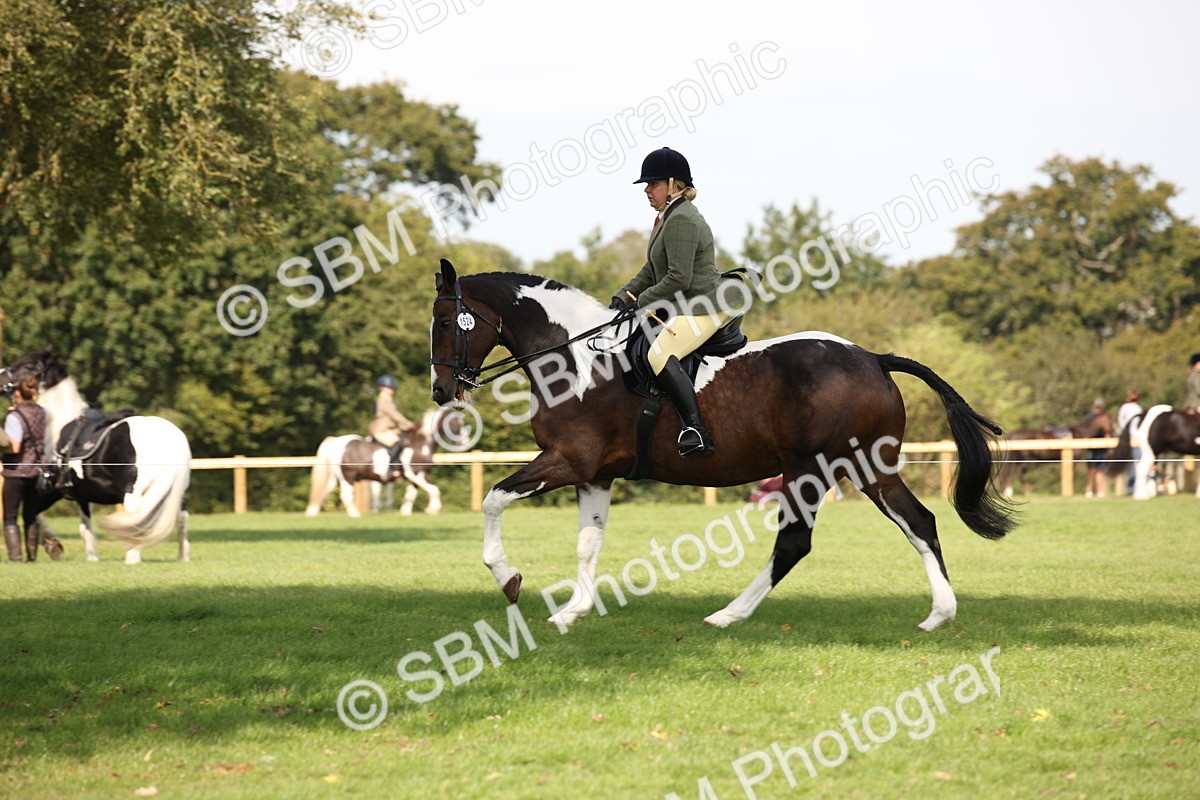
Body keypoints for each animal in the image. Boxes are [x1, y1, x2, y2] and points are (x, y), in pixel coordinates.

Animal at [0, 348, 192, 564]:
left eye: (28, 365)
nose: (1, 376)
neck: (57, 426)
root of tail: (168, 438)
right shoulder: (81, 494)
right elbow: (85, 528)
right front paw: (91, 557)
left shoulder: (50, 490)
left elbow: (33, 514)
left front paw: (52, 544)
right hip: (177, 494)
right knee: (181, 520)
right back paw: (182, 556)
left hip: (132, 493)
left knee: (138, 520)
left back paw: (132, 557)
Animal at [305, 408, 465, 517]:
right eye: (455, 422)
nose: (464, 443)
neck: (419, 445)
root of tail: (335, 441)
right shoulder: (416, 474)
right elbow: (434, 489)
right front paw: (433, 509)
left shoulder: (418, 476)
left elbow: (411, 494)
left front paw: (405, 512)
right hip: (347, 477)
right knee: (346, 495)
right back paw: (355, 514)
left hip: (335, 477)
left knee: (324, 491)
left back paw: (313, 512)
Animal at [429, 260, 1016, 632]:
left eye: (447, 321)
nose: (441, 390)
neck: (574, 361)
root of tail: (872, 357)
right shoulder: (594, 474)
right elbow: (587, 544)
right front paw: (572, 612)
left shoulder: (567, 461)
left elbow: (494, 500)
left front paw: (509, 579)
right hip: (869, 468)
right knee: (919, 522)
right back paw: (939, 614)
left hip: (810, 470)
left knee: (794, 543)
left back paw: (727, 615)